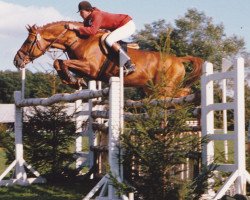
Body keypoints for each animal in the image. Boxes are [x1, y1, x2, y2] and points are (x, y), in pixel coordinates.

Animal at [13, 21, 203, 97]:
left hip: (166, 88)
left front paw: (73, 81)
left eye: (28, 41)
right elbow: (58, 62)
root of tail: (178, 60)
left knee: (181, 94)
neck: (80, 40)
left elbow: (62, 62)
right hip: (152, 89)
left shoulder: (90, 68)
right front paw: (74, 81)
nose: (16, 61)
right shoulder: (84, 68)